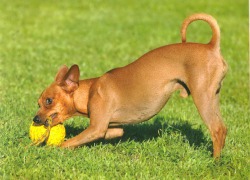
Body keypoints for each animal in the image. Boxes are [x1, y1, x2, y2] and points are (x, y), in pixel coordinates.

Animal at [34, 13, 228, 158]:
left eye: (49, 101)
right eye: (38, 103)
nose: (34, 119)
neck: (90, 90)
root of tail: (212, 46)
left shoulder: (96, 128)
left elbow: (67, 143)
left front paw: (47, 148)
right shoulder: (112, 129)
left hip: (202, 98)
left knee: (217, 130)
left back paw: (214, 162)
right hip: (213, 97)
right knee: (223, 128)